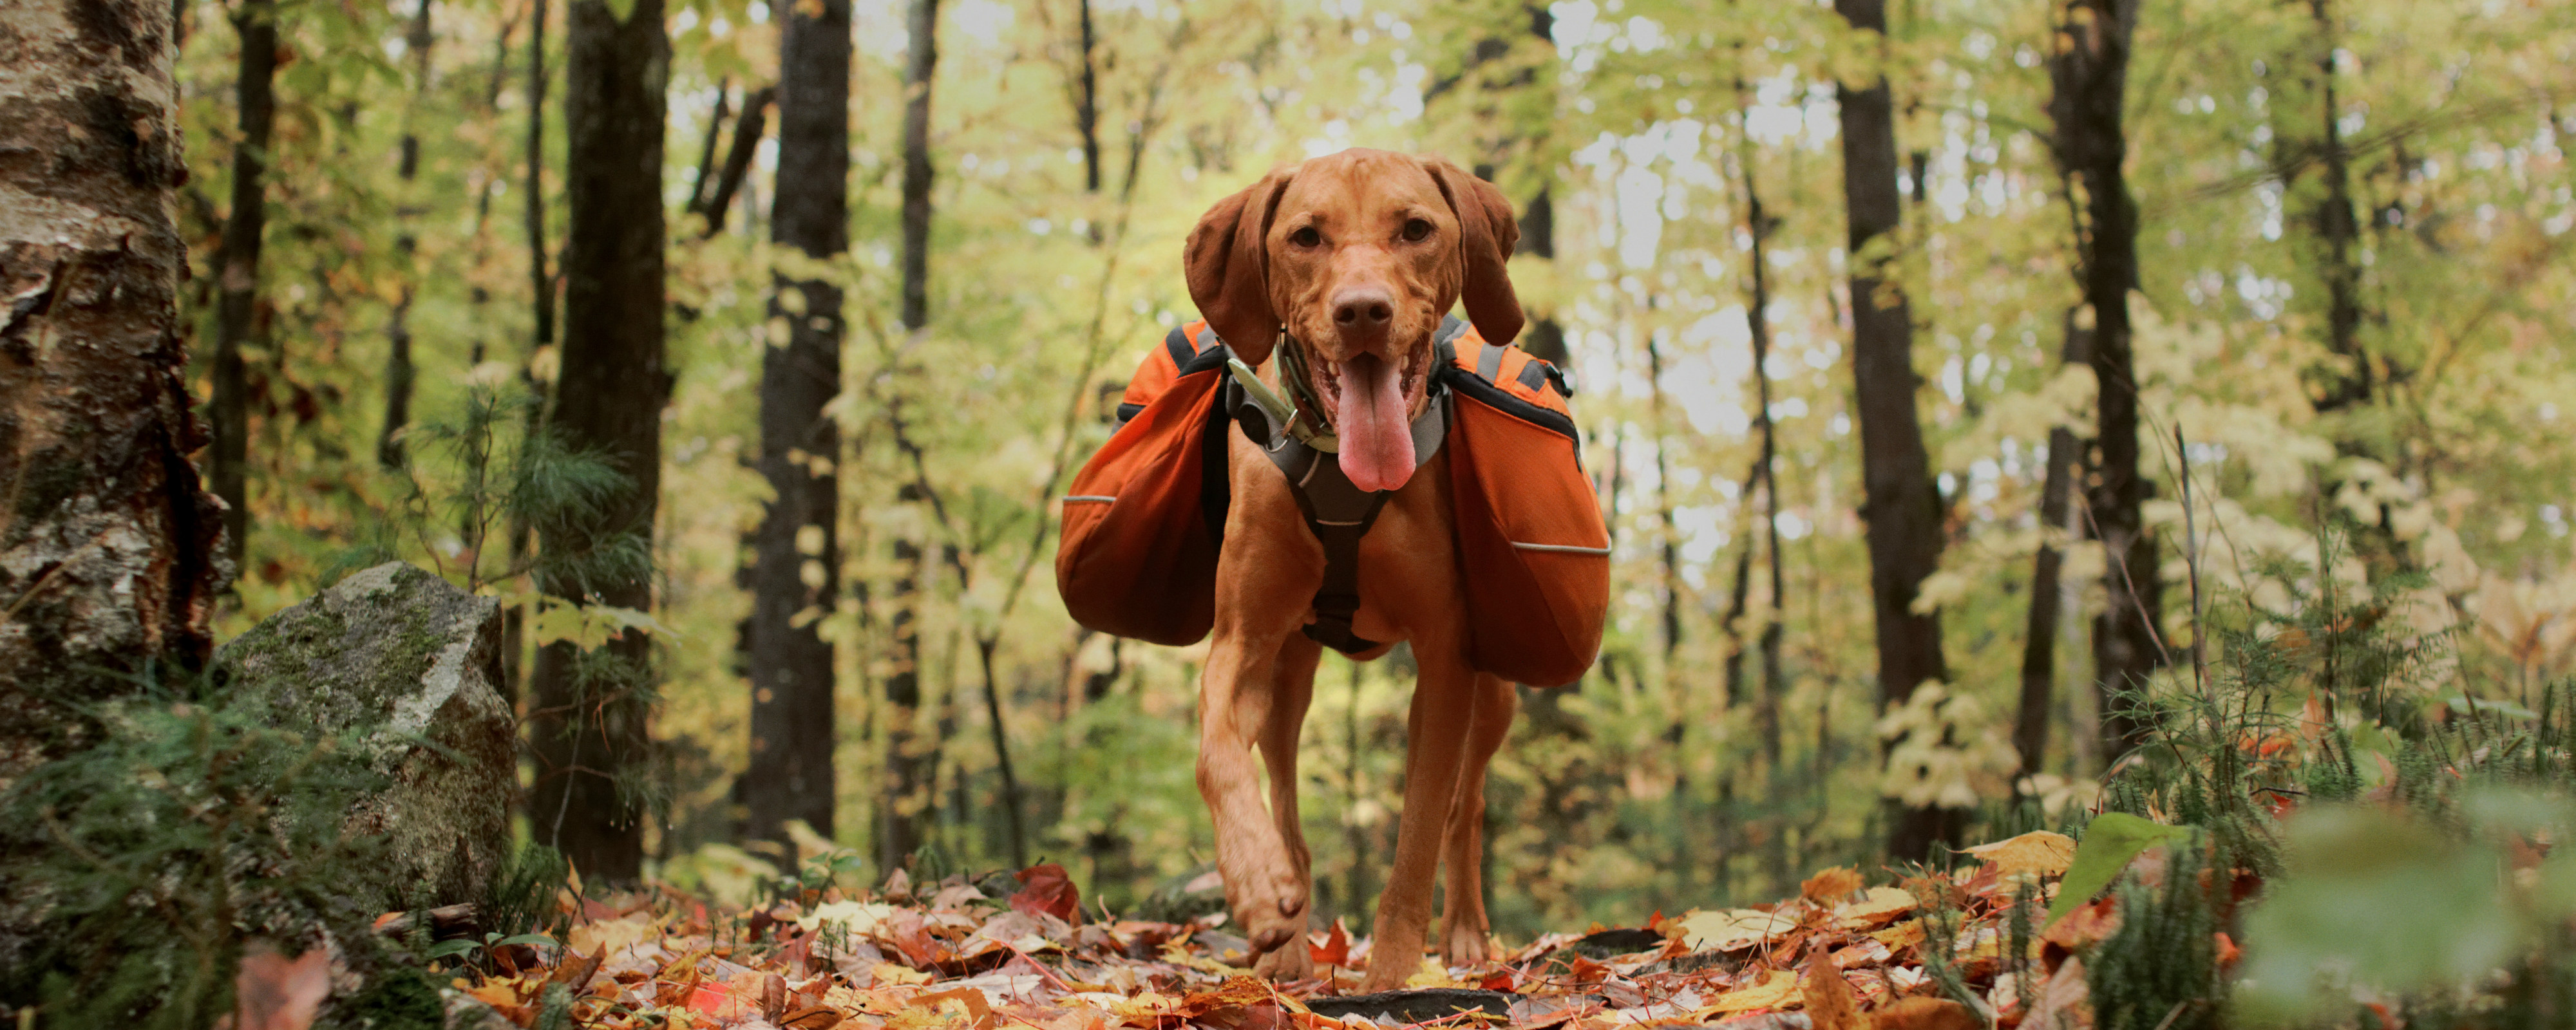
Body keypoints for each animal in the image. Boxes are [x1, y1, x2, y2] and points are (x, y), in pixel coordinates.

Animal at [1185, 149, 1525, 984]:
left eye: (1416, 229)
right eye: (1305, 237)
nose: (1363, 312)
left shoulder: (1447, 658)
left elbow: (1419, 833)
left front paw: (1393, 975)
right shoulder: (1241, 642)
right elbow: (1216, 754)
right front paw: (1253, 879)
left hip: (1497, 689)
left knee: (1467, 806)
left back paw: (1464, 932)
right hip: (1288, 676)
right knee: (1284, 790)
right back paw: (1285, 943)